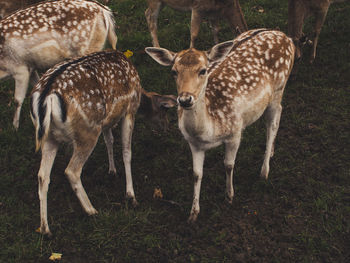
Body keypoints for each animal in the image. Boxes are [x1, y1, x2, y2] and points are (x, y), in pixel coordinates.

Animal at [0, 0, 117, 130]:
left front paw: (15, 127)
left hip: (88, 47)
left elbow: (17, 99)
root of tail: (105, 11)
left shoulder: (19, 68)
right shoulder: (30, 67)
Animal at [29, 50, 176, 237]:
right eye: (164, 110)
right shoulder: (129, 111)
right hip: (88, 131)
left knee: (42, 175)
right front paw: (131, 196)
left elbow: (109, 140)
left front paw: (112, 170)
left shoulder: (106, 120)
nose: (167, 127)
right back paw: (91, 210)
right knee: (72, 170)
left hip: (50, 137)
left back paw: (45, 229)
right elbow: (127, 152)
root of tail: (46, 98)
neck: (139, 92)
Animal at [145, 28, 296, 223]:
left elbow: (228, 164)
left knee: (274, 122)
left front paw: (229, 196)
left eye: (203, 70)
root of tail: (284, 36)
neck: (208, 131)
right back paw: (271, 152)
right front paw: (193, 213)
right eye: (173, 71)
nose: (185, 100)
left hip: (279, 88)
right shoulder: (193, 143)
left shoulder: (235, 132)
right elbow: (196, 174)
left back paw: (264, 171)